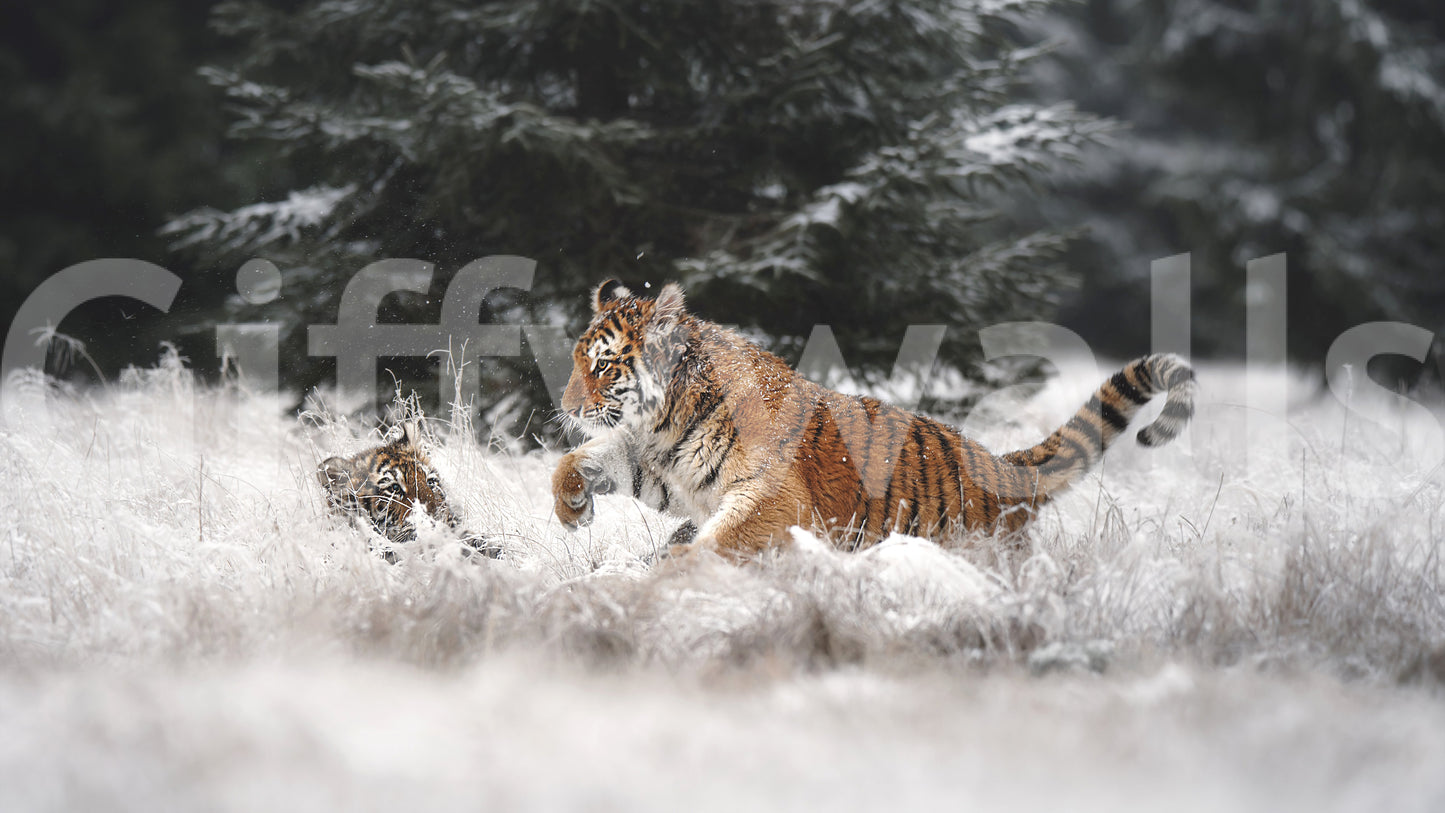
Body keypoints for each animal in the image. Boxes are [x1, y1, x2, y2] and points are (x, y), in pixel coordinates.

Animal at [552, 279, 1196, 560]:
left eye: (604, 365)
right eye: (578, 360)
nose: (566, 407)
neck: (666, 420)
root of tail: (1004, 465)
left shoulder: (772, 494)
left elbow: (725, 537)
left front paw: (674, 569)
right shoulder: (659, 465)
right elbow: (584, 459)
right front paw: (572, 508)